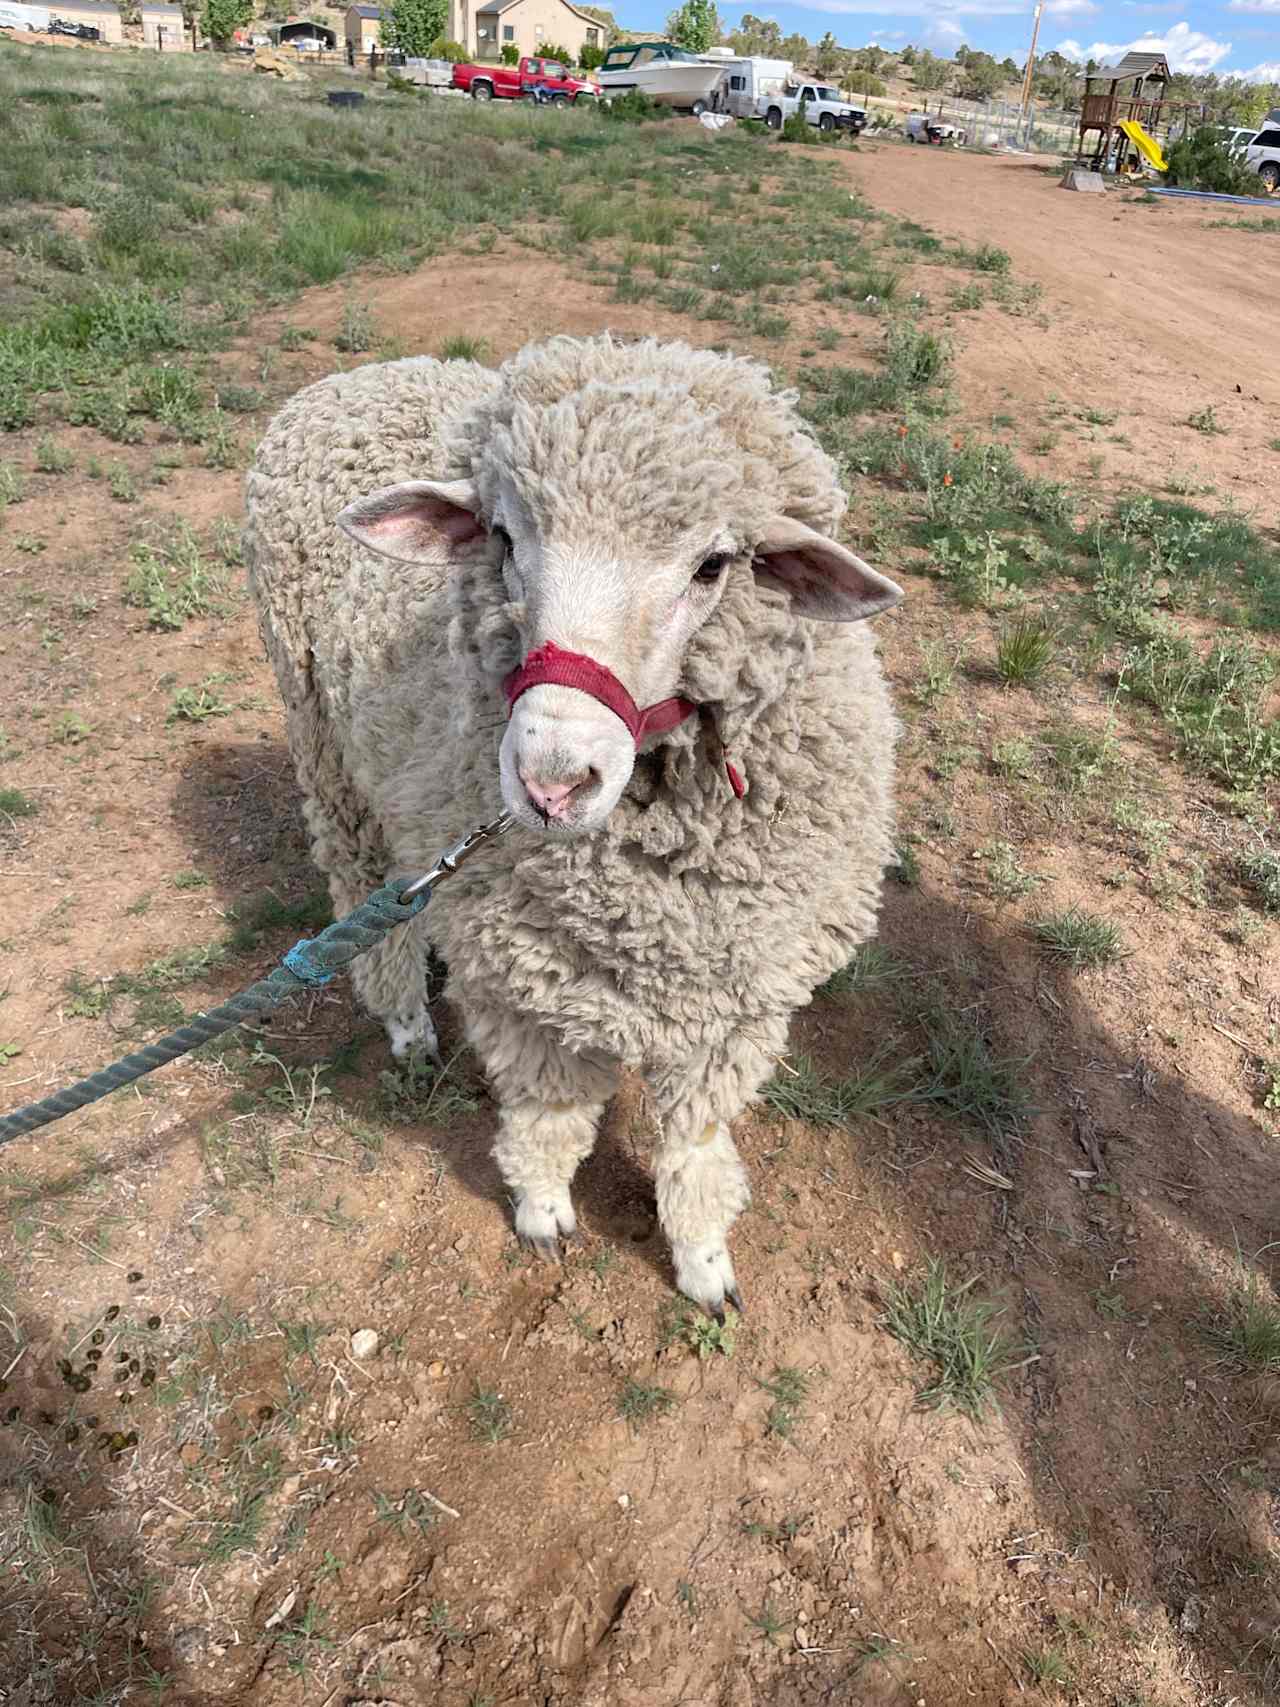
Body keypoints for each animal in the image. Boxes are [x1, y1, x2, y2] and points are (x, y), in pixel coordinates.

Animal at [247, 336, 901, 1317]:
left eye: (714, 565)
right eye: (503, 536)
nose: (553, 781)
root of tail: (364, 374)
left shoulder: (739, 996)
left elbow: (693, 1141)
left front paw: (702, 1259)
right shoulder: (520, 982)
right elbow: (548, 1112)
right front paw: (544, 1210)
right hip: (322, 741)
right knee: (366, 893)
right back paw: (406, 1024)